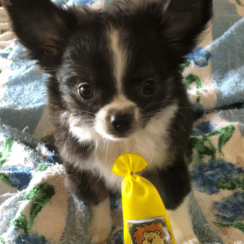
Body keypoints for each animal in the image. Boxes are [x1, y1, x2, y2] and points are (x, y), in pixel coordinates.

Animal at [4, 0, 212, 241]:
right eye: (85, 90)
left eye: (149, 87)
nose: (120, 119)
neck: (119, 144)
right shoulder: (82, 168)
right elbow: (98, 200)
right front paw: (100, 232)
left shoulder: (168, 166)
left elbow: (174, 205)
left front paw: (185, 237)